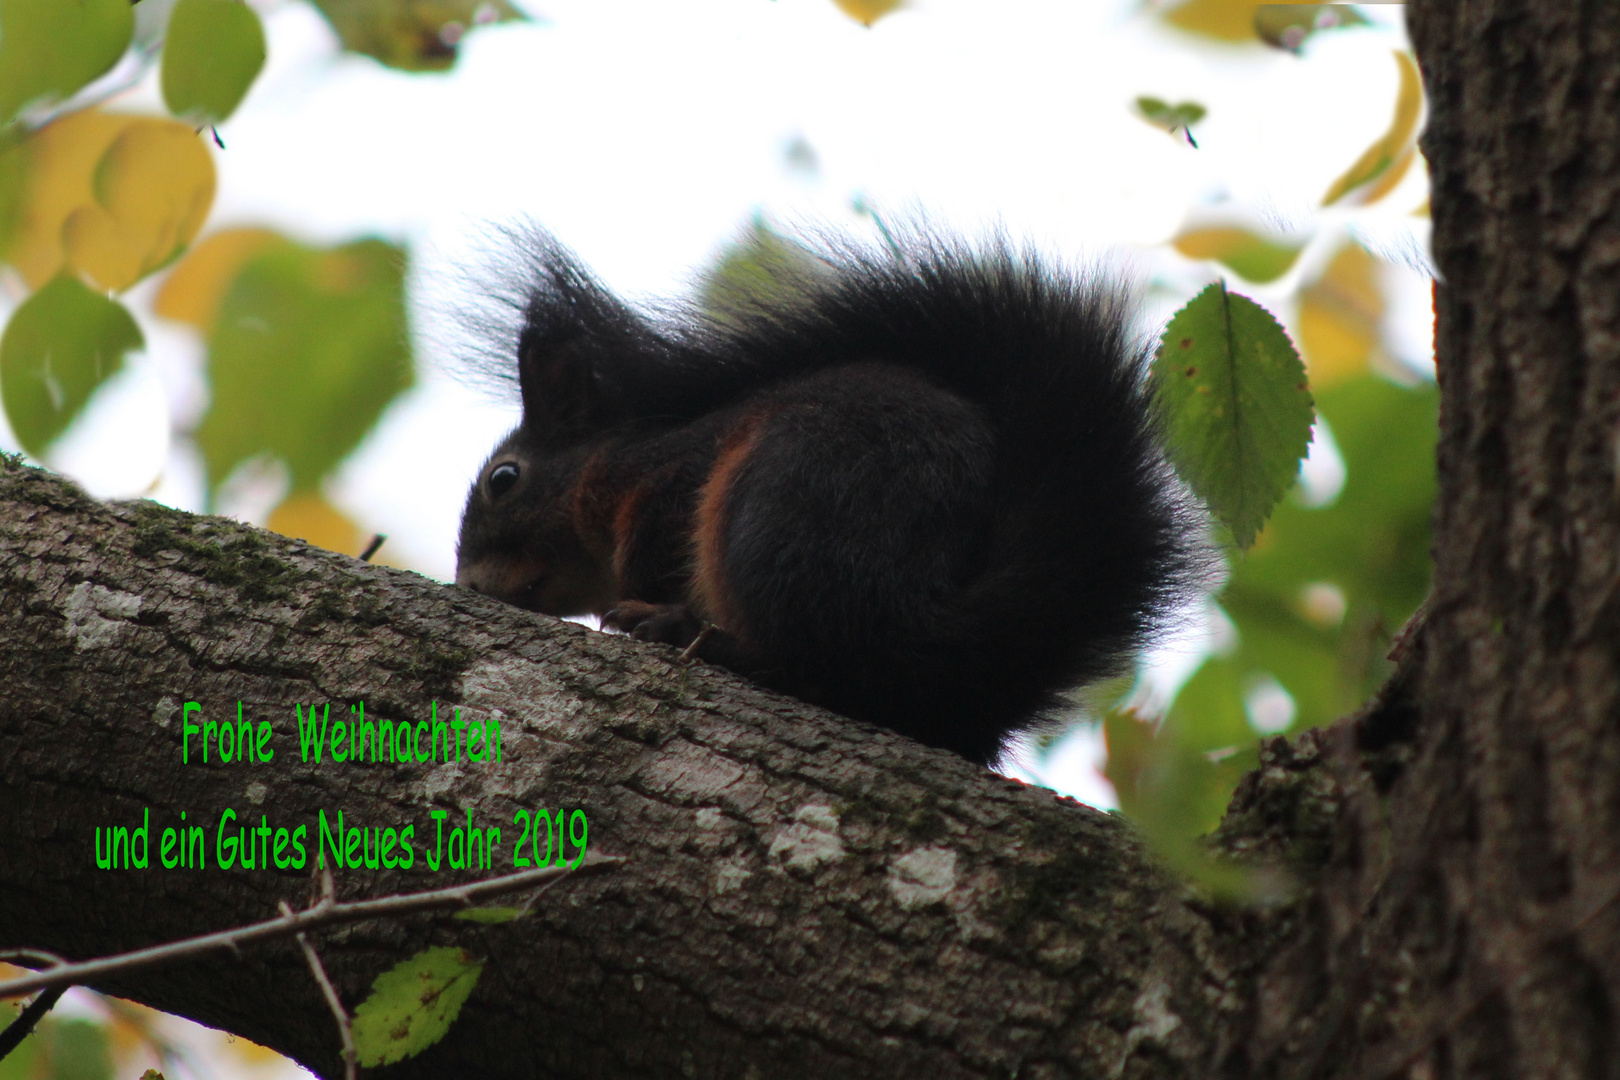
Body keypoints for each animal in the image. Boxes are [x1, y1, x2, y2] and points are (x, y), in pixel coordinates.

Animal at [456, 231, 1205, 764]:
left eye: (504, 479)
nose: (468, 584)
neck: (600, 470)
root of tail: (940, 626)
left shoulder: (668, 481)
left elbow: (654, 544)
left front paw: (645, 600)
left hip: (780, 507)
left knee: (822, 664)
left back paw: (691, 633)